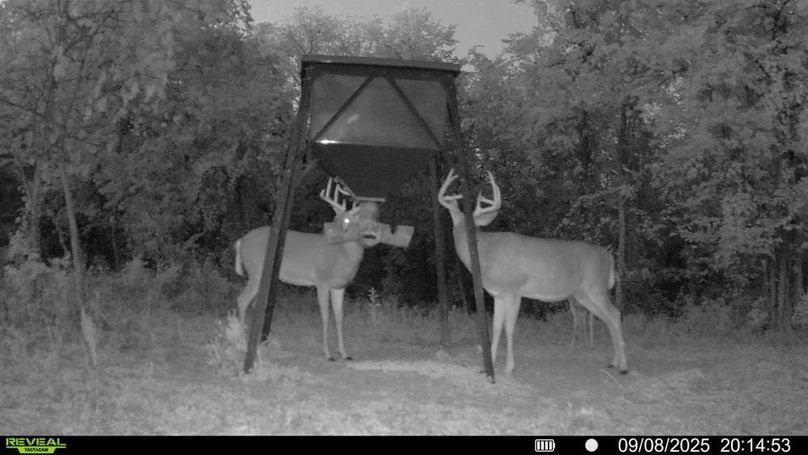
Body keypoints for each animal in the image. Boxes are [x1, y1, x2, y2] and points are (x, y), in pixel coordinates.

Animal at [234, 178, 382, 361]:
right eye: (335, 217)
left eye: (347, 221)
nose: (329, 232)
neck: (341, 256)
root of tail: (241, 241)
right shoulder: (321, 281)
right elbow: (325, 315)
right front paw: (328, 354)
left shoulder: (339, 287)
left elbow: (339, 317)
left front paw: (345, 353)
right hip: (256, 271)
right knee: (242, 300)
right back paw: (241, 339)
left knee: (253, 303)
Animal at [437, 168, 628, 375]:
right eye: (456, 221)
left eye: (475, 226)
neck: (487, 254)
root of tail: (609, 256)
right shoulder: (498, 294)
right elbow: (496, 327)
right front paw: (489, 364)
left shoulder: (513, 290)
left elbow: (509, 328)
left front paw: (509, 367)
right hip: (582, 295)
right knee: (607, 319)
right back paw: (613, 362)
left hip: (596, 287)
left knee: (615, 315)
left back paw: (624, 366)